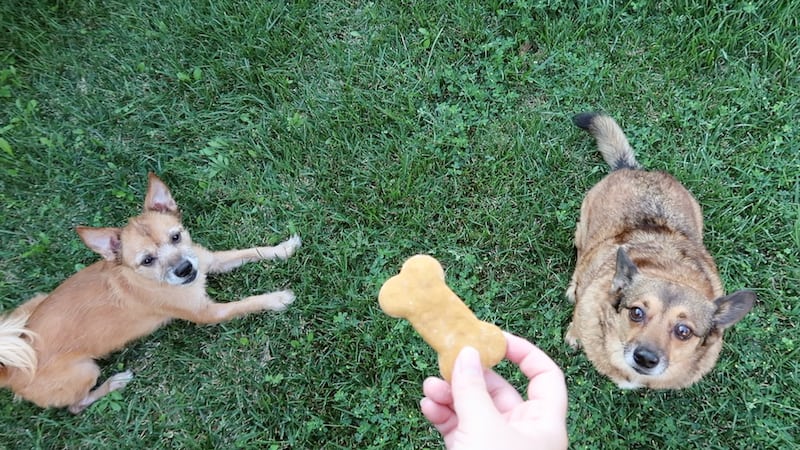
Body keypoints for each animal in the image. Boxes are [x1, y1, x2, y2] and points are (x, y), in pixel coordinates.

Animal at [0, 174, 300, 414]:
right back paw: (115, 382)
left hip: (33, 303)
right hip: (85, 371)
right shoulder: (210, 313)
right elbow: (248, 302)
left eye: (176, 236)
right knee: (76, 406)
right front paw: (277, 299)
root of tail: (11, 372)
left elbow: (250, 251)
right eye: (147, 260)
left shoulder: (210, 261)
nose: (185, 268)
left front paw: (282, 248)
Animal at [564, 112, 756, 390]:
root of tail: (633, 169)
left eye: (683, 331)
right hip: (583, 228)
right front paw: (574, 333)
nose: (645, 357)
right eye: (636, 312)